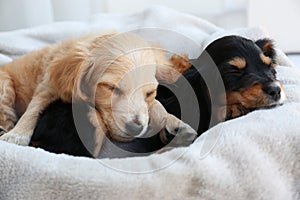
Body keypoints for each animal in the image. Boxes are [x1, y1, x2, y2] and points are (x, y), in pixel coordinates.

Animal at [0, 31, 197, 156]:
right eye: (111, 88)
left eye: (149, 93)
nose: (135, 128)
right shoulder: (48, 85)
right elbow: (34, 108)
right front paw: (17, 135)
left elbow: (156, 105)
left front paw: (173, 121)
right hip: (5, 86)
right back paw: (6, 129)